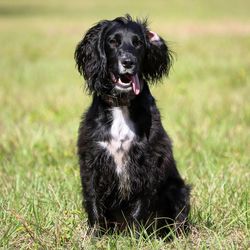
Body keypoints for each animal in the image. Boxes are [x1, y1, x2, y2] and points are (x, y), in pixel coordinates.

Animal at [74, 15, 189, 236]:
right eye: (113, 41)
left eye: (138, 43)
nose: (128, 61)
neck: (122, 104)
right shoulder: (92, 159)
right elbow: (93, 201)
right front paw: (95, 236)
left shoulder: (149, 161)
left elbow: (140, 206)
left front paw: (134, 237)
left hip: (178, 189)